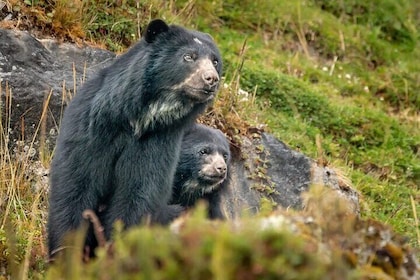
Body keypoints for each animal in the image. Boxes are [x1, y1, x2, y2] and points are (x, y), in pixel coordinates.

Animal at [46, 18, 223, 258]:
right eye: (189, 56)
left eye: (215, 61)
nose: (211, 79)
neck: (139, 118)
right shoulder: (92, 131)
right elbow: (75, 187)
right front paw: (68, 254)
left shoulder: (158, 142)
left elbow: (138, 194)